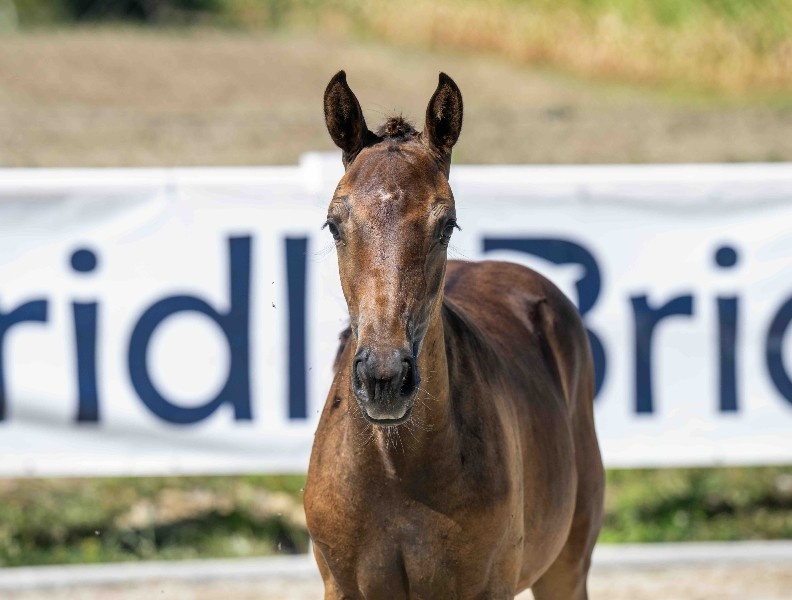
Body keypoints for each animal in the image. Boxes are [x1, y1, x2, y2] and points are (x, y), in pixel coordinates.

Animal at [304, 71, 604, 600]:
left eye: (446, 224)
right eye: (334, 224)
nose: (384, 378)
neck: (396, 469)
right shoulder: (341, 586)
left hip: (566, 568)